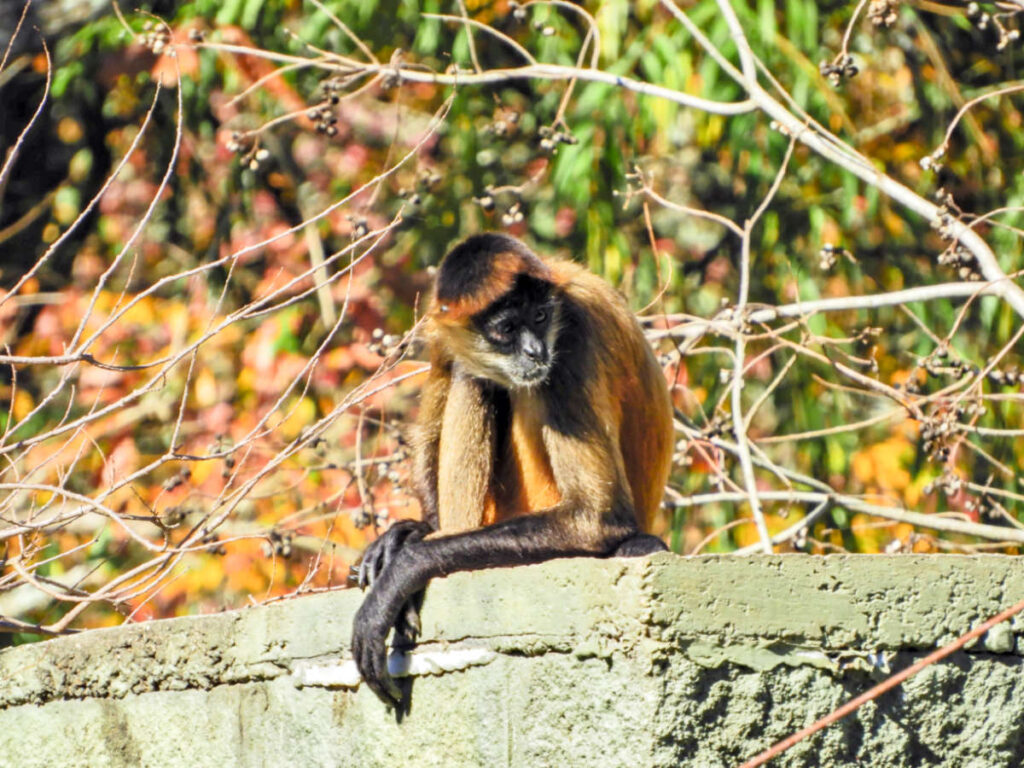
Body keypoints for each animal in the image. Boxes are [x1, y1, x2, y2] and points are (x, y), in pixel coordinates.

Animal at [352, 233, 674, 706]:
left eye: (539, 317)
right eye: (506, 329)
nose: (535, 350)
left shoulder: (573, 334)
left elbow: (599, 518)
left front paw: (404, 569)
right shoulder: (446, 329)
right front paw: (414, 532)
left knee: (485, 379)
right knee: (473, 375)